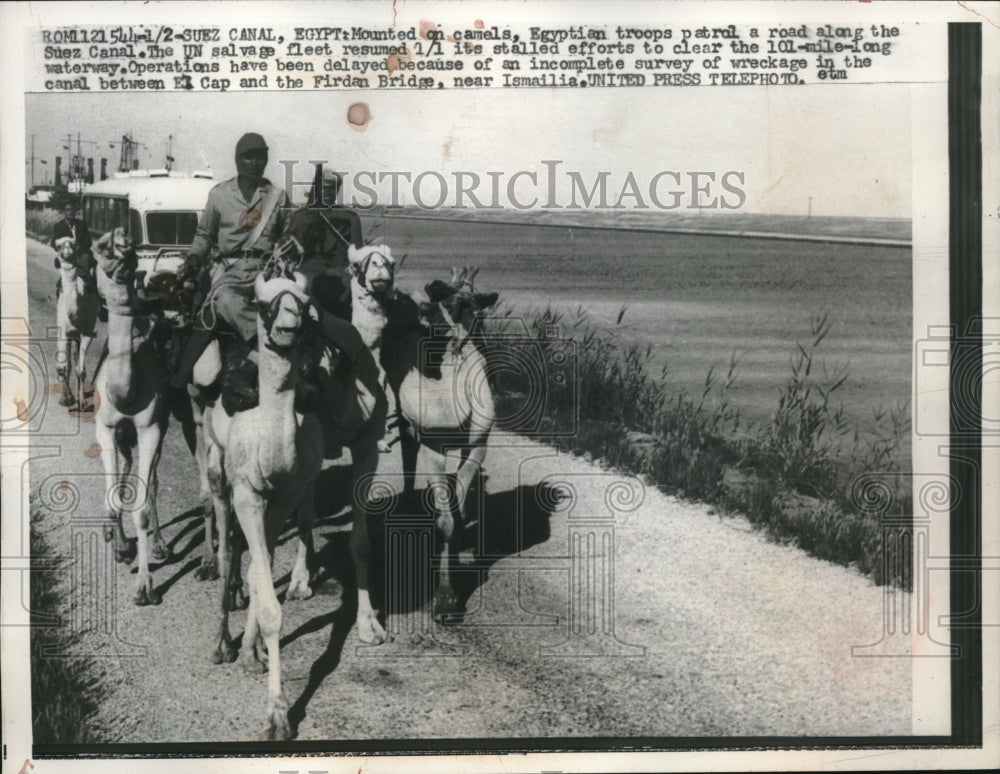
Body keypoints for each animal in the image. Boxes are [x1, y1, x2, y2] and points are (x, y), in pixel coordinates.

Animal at [53, 236, 98, 410]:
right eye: (58, 246)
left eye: (73, 244)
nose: (67, 250)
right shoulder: (63, 332)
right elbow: (62, 367)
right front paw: (67, 399)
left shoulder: (88, 332)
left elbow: (81, 370)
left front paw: (83, 403)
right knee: (69, 362)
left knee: (77, 362)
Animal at [352, 250, 500, 624]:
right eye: (439, 303)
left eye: (475, 305)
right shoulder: (435, 448)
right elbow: (446, 520)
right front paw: (445, 599)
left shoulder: (476, 448)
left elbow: (458, 516)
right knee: (406, 446)